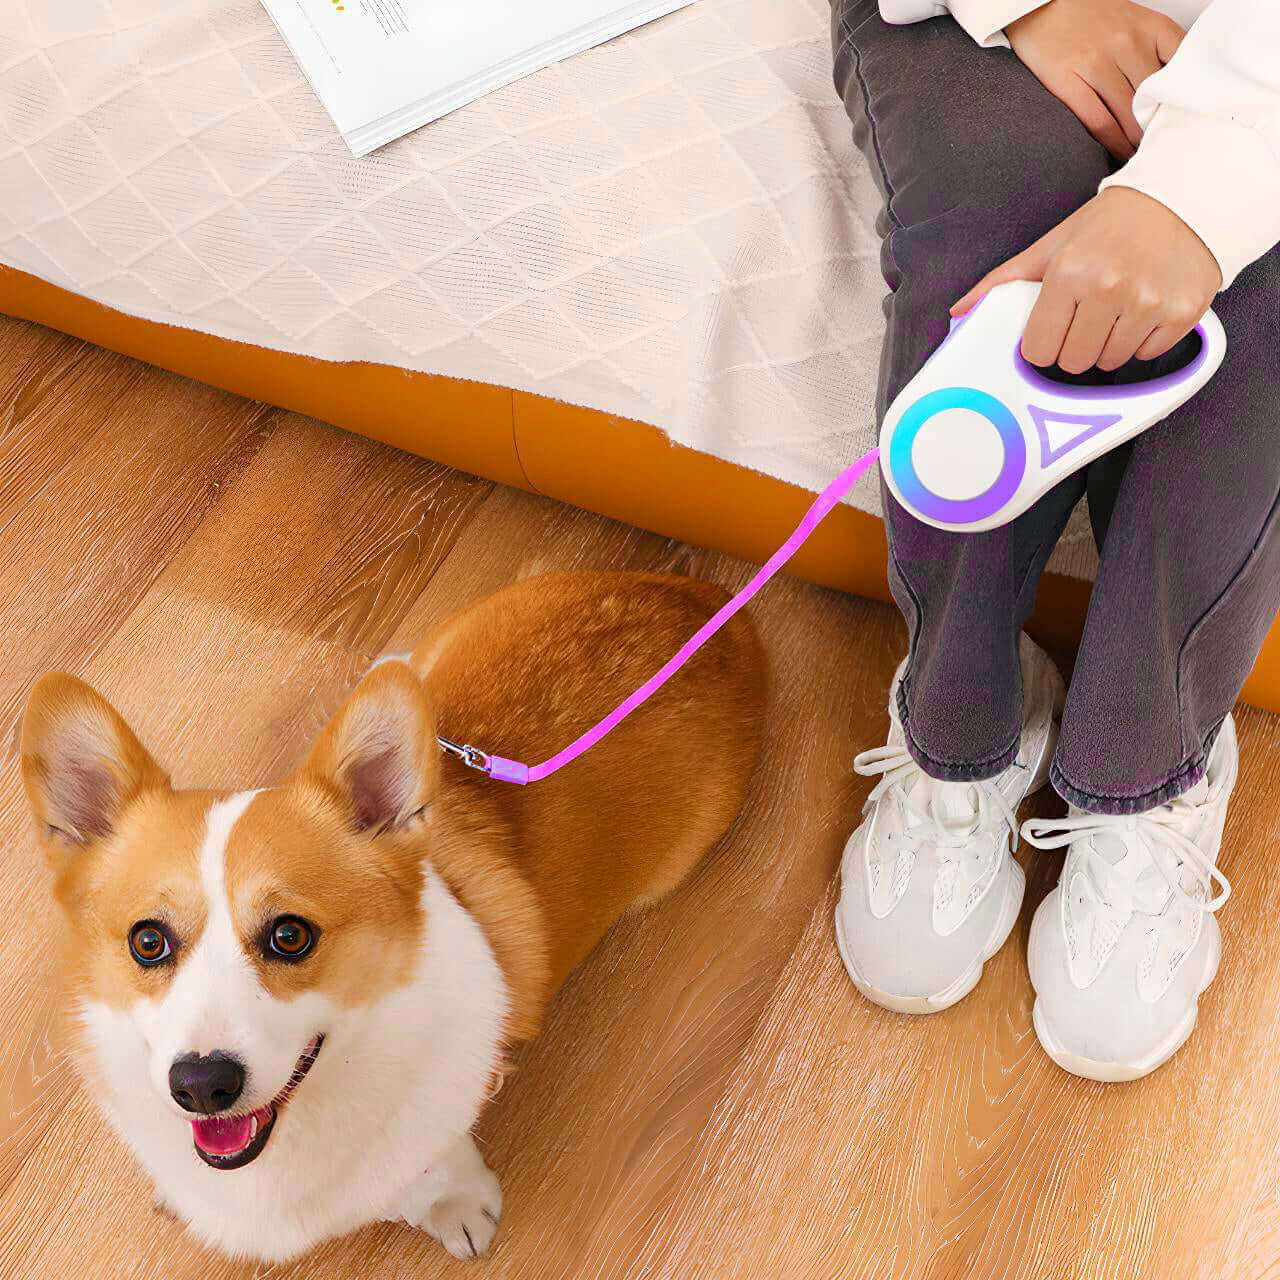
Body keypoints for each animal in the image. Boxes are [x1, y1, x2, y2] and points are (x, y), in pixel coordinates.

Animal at [20, 576, 762, 1264]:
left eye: (290, 935)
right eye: (148, 941)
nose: (201, 1087)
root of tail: (703, 596)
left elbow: (436, 1160)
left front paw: (457, 1205)